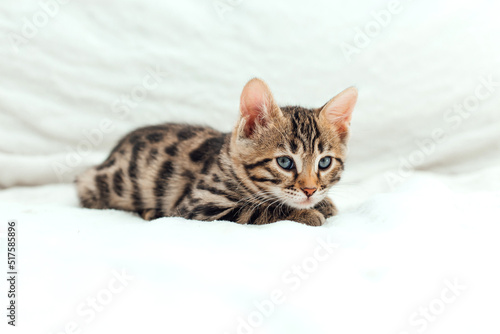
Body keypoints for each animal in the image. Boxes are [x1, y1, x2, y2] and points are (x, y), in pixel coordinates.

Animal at [76, 77, 358, 227]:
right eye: (285, 162)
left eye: (324, 163)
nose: (310, 190)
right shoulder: (201, 206)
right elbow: (257, 210)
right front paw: (307, 214)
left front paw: (324, 203)